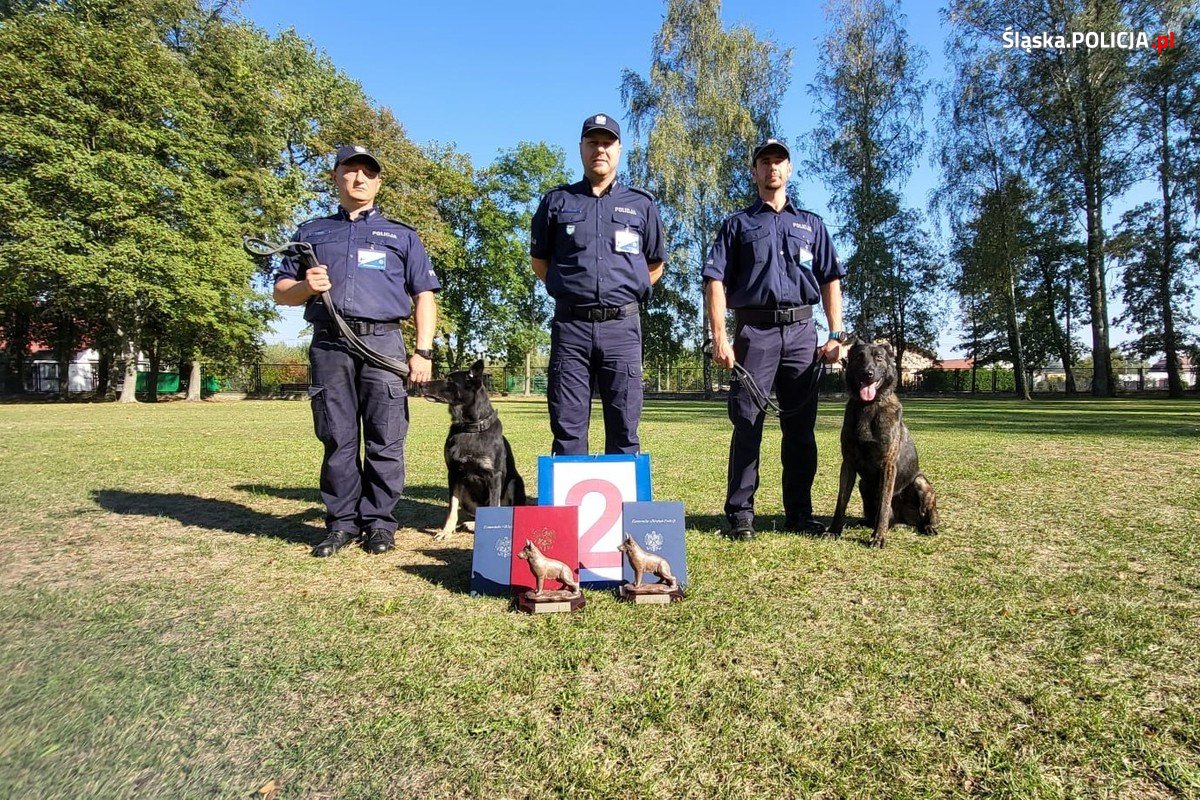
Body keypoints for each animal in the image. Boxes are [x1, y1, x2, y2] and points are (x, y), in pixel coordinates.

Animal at [427, 362, 530, 537]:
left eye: (449, 380)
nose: (422, 384)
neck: (470, 428)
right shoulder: (453, 474)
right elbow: (452, 507)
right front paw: (446, 531)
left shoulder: (494, 476)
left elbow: (494, 507)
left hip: (514, 482)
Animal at [830, 338, 940, 551]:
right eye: (859, 358)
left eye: (879, 358)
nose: (868, 373)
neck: (868, 407)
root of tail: (903, 520)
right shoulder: (848, 464)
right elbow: (841, 501)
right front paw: (833, 530)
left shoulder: (888, 466)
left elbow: (883, 504)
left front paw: (878, 537)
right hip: (863, 484)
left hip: (920, 483)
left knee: (930, 514)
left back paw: (929, 526)